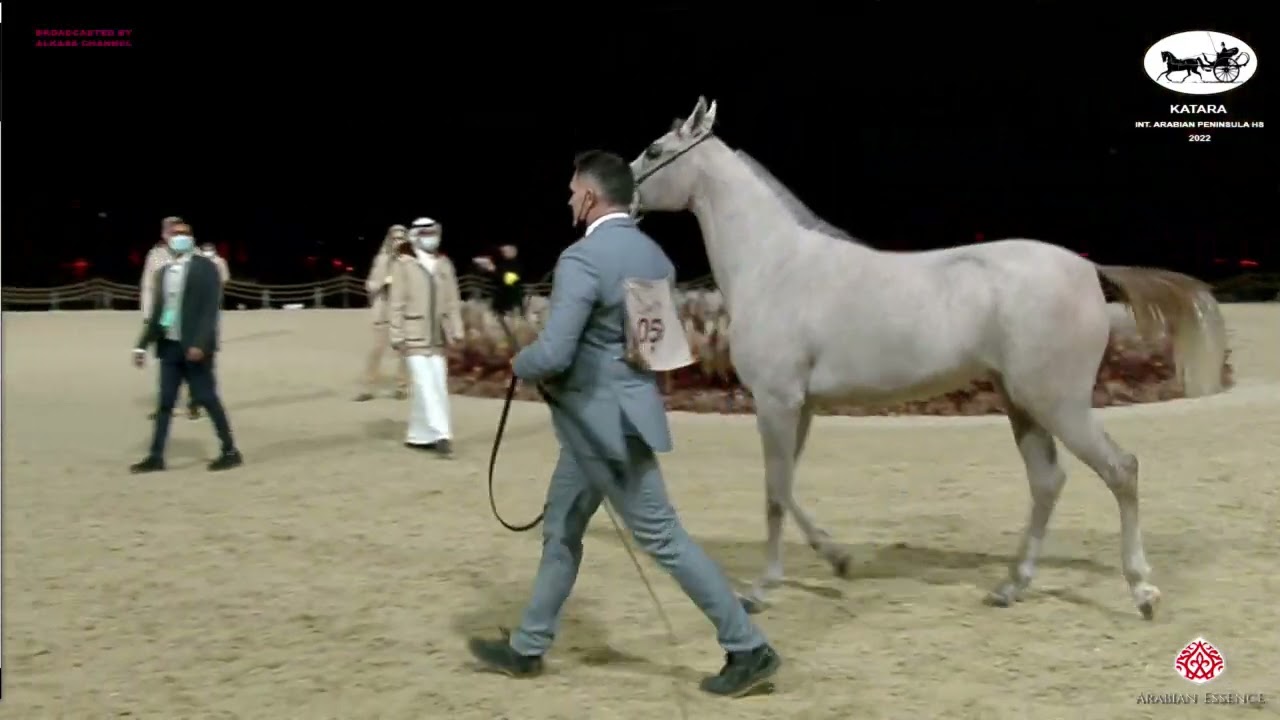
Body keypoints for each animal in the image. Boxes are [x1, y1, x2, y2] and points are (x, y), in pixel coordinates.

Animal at [629, 96, 1228, 621]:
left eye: (655, 150)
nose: (620, 195)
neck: (776, 266)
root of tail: (1089, 269)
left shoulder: (776, 401)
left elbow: (775, 491)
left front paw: (760, 590)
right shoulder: (799, 405)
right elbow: (786, 484)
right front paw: (838, 559)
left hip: (1059, 403)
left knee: (1120, 470)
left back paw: (1142, 591)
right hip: (1023, 403)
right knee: (1047, 482)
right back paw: (1011, 587)